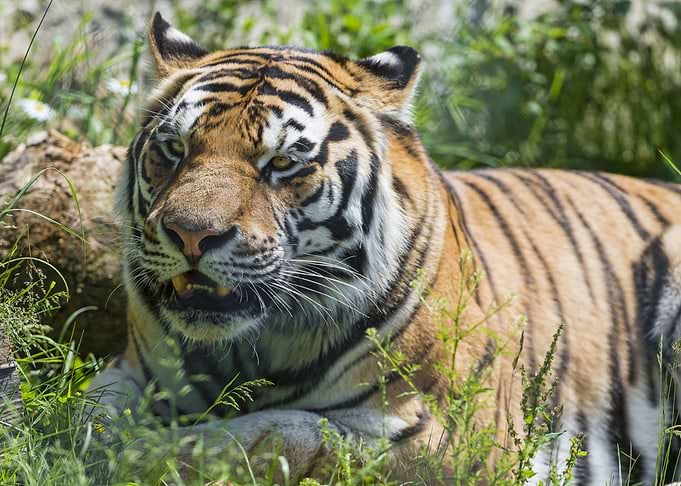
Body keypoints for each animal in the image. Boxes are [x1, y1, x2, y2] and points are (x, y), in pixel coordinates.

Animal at [88, 11, 681, 484]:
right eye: (174, 148)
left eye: (282, 162)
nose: (190, 235)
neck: (248, 347)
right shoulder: (131, 369)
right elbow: (90, 415)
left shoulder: (449, 438)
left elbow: (270, 435)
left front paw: (147, 456)